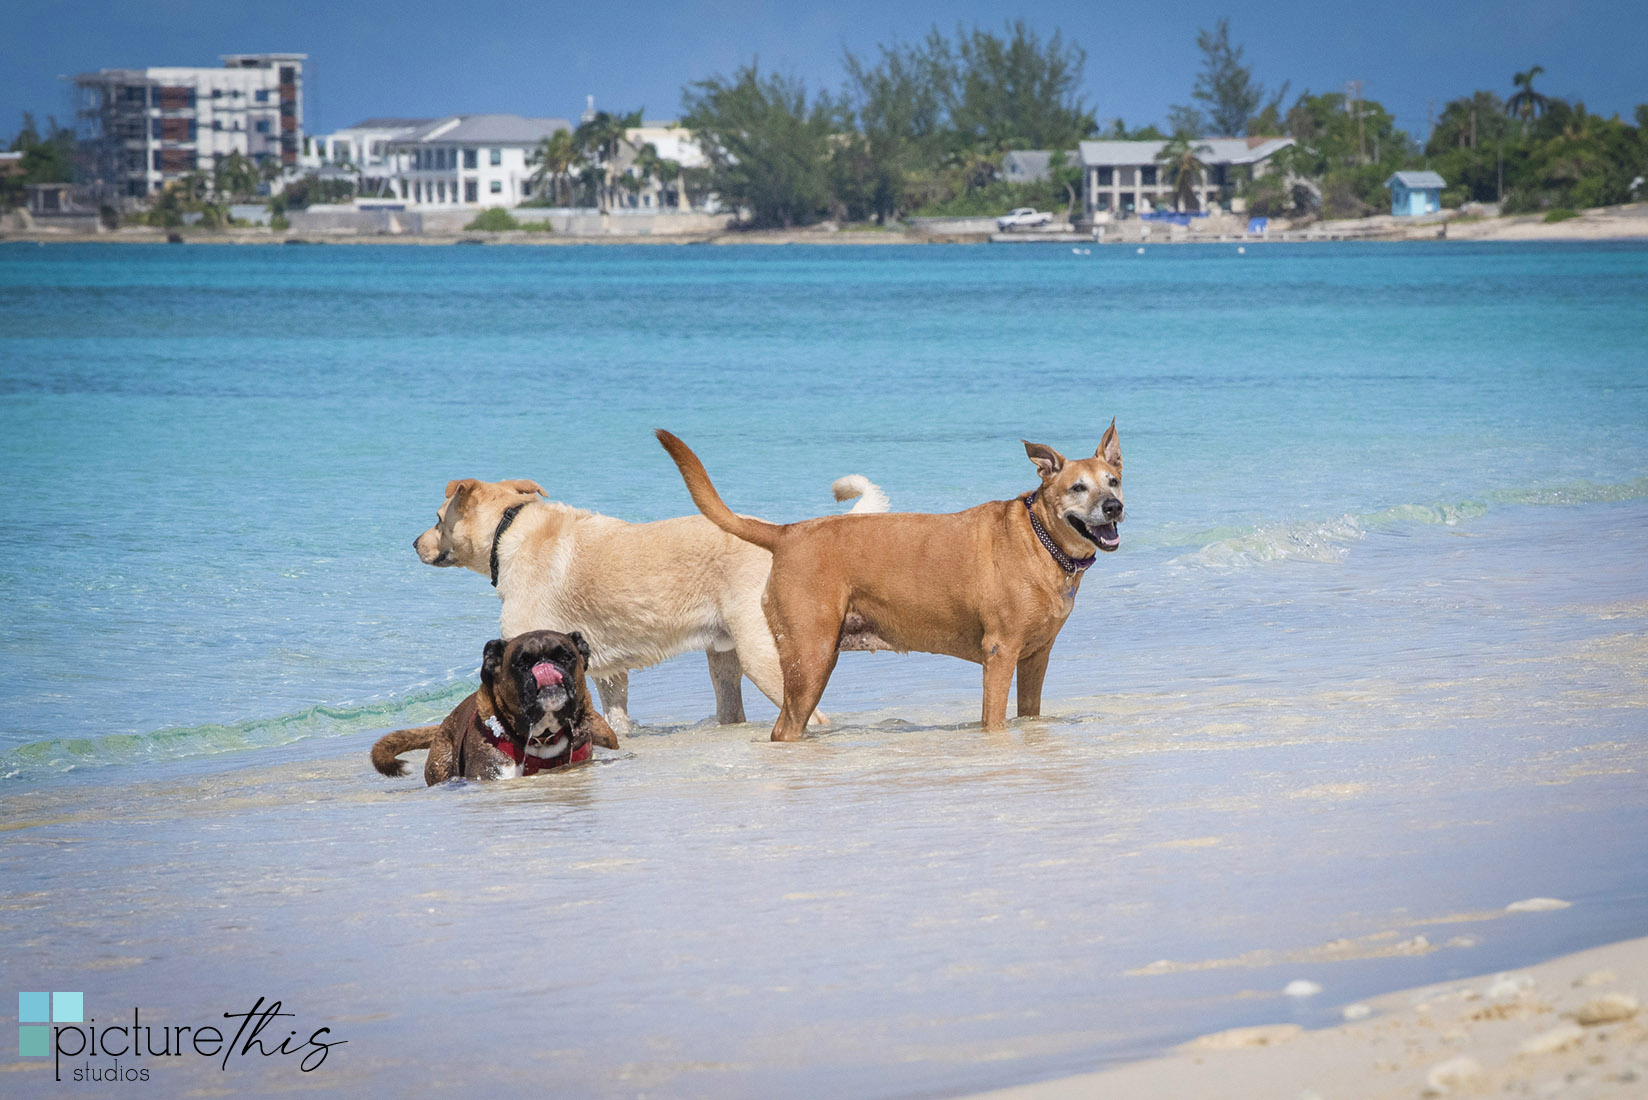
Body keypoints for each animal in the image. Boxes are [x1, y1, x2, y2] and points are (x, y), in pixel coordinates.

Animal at [418, 471, 896, 732]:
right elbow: (618, 716)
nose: (413, 543)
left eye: (438, 519)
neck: (508, 528)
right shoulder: (608, 671)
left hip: (760, 653)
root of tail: (786, 536)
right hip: (725, 654)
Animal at [652, 425, 1120, 745]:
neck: (1041, 541)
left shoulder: (1035, 657)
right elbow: (994, 720)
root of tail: (786, 532)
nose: (1114, 506)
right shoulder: (1000, 654)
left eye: (1113, 481)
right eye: (1078, 487)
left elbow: (1030, 713)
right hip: (810, 659)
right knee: (785, 729)